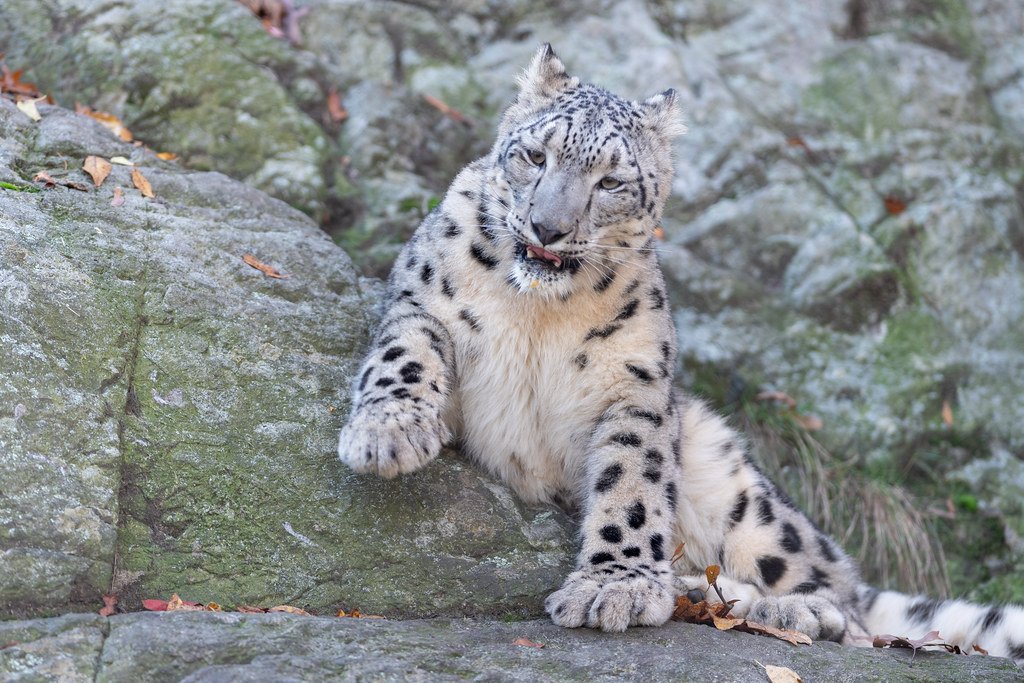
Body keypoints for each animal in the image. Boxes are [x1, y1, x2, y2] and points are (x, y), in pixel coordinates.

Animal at [337, 44, 1024, 666]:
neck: (539, 314)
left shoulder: (634, 385)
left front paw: (614, 589)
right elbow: (405, 352)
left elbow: (631, 485)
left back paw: (795, 610)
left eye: (611, 181)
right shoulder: (421, 298)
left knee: (846, 603)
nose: (548, 228)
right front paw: (386, 435)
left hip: (737, 485)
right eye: (535, 156)